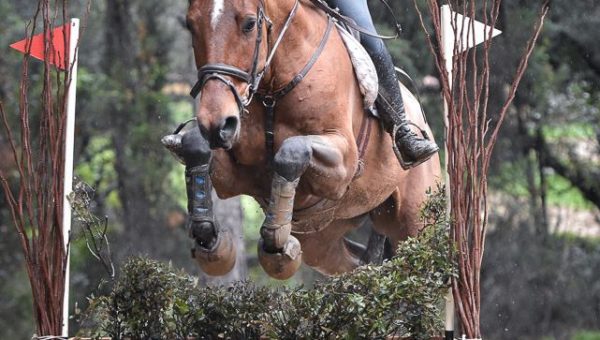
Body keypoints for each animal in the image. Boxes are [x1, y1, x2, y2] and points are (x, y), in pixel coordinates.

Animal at [164, 0, 440, 278]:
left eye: (250, 24)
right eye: (191, 26)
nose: (215, 122)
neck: (274, 88)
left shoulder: (344, 165)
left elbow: (291, 152)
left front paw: (275, 243)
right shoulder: (235, 173)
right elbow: (195, 145)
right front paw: (210, 239)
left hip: (414, 221)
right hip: (321, 238)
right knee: (357, 264)